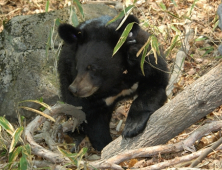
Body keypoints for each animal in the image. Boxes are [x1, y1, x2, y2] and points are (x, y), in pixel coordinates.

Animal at [57, 15, 168, 151]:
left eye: (93, 68)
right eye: (77, 67)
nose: (74, 89)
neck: (116, 80)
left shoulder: (145, 61)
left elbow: (155, 86)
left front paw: (132, 128)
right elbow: (92, 118)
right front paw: (105, 145)